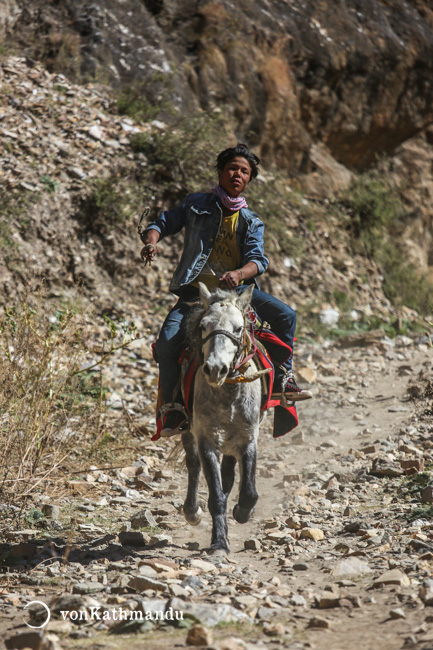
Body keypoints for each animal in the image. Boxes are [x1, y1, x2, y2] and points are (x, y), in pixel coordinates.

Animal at [180, 282, 264, 552]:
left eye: (238, 328)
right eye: (203, 326)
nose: (215, 369)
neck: (227, 394)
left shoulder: (248, 437)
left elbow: (248, 491)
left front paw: (242, 512)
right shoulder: (206, 440)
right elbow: (215, 495)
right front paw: (219, 542)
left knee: (228, 474)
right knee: (193, 464)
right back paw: (192, 511)